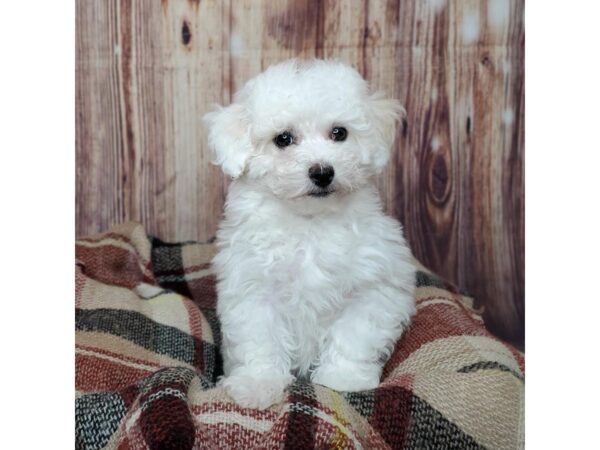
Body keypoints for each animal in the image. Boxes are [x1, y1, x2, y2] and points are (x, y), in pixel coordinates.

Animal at [204, 59, 414, 408]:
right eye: (283, 139)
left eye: (339, 133)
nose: (322, 172)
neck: (310, 223)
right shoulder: (252, 289)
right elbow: (260, 339)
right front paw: (258, 384)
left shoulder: (376, 285)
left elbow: (356, 332)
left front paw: (345, 378)